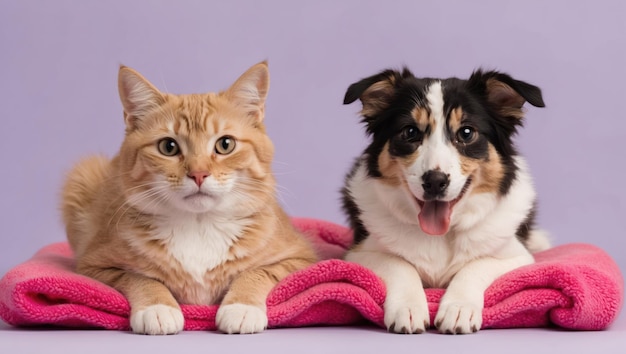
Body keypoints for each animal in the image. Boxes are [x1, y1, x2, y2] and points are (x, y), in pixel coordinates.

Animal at [62, 61, 316, 334]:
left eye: (225, 144)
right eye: (168, 147)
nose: (198, 174)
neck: (199, 225)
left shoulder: (300, 259)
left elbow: (257, 272)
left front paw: (242, 307)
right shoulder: (94, 267)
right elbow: (138, 276)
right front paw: (157, 307)